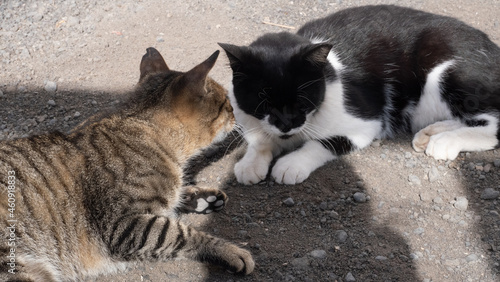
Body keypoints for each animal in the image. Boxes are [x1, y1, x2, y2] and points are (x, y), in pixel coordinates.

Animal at [0, 47, 254, 280]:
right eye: (227, 103)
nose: (236, 114)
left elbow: (175, 198)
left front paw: (198, 196)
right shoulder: (121, 224)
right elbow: (180, 233)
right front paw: (229, 251)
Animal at [220, 4, 500, 185]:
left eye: (302, 99)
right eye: (263, 100)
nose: (287, 123)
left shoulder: (366, 122)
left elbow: (324, 143)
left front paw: (292, 164)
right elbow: (260, 138)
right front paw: (250, 163)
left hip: (448, 71)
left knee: (493, 123)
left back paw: (446, 141)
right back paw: (431, 134)